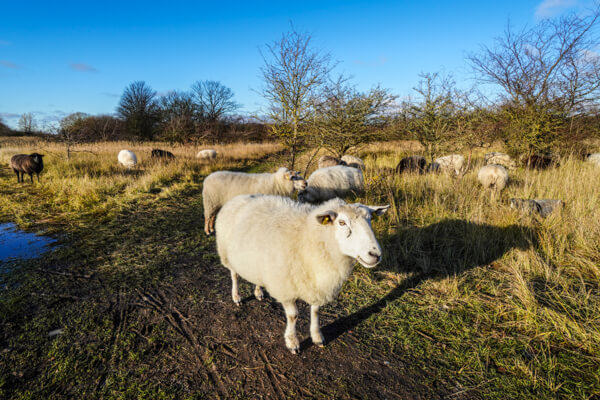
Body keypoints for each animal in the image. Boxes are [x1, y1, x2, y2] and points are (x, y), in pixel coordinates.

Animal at [216, 194, 390, 354]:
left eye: (370, 220)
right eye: (342, 222)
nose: (375, 254)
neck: (308, 237)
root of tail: (239, 197)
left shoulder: (317, 284)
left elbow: (316, 311)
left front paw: (317, 337)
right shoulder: (285, 288)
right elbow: (293, 316)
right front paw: (293, 342)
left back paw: (258, 291)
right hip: (227, 255)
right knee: (234, 276)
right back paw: (237, 297)